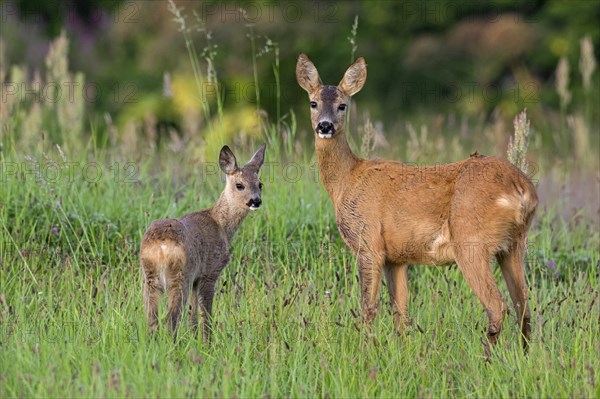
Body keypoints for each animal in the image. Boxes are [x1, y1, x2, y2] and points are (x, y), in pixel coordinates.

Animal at [140, 144, 264, 340]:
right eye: (239, 185)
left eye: (260, 184)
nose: (255, 201)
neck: (221, 224)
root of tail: (159, 246)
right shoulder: (209, 272)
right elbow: (206, 314)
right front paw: (208, 341)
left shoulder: (196, 279)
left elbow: (193, 316)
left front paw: (195, 338)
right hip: (180, 276)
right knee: (170, 319)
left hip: (149, 278)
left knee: (152, 319)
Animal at [298, 53, 536, 354]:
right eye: (313, 102)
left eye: (343, 105)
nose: (325, 126)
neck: (346, 180)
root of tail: (523, 190)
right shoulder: (396, 258)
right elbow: (400, 313)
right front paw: (400, 352)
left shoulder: (368, 242)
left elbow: (368, 308)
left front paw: (365, 350)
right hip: (514, 244)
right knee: (524, 305)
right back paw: (524, 356)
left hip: (472, 242)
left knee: (497, 305)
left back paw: (487, 358)